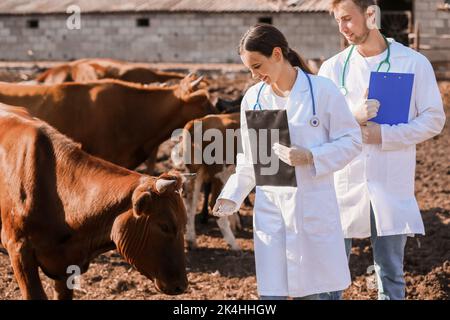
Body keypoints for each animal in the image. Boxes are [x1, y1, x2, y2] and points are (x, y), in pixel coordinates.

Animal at [172, 112, 243, 250]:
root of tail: (199, 121)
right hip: (221, 173)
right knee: (214, 202)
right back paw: (234, 244)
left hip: (196, 172)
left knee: (190, 201)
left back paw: (191, 240)